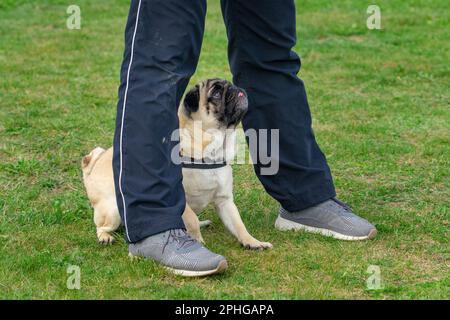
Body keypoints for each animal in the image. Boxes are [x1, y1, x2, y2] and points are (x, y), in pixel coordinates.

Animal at [82, 78, 272, 250]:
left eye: (231, 85)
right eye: (216, 94)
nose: (236, 89)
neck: (211, 149)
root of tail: (93, 164)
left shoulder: (224, 200)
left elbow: (238, 224)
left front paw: (252, 241)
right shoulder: (180, 199)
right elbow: (191, 220)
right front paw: (197, 242)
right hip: (113, 209)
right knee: (101, 226)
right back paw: (105, 237)